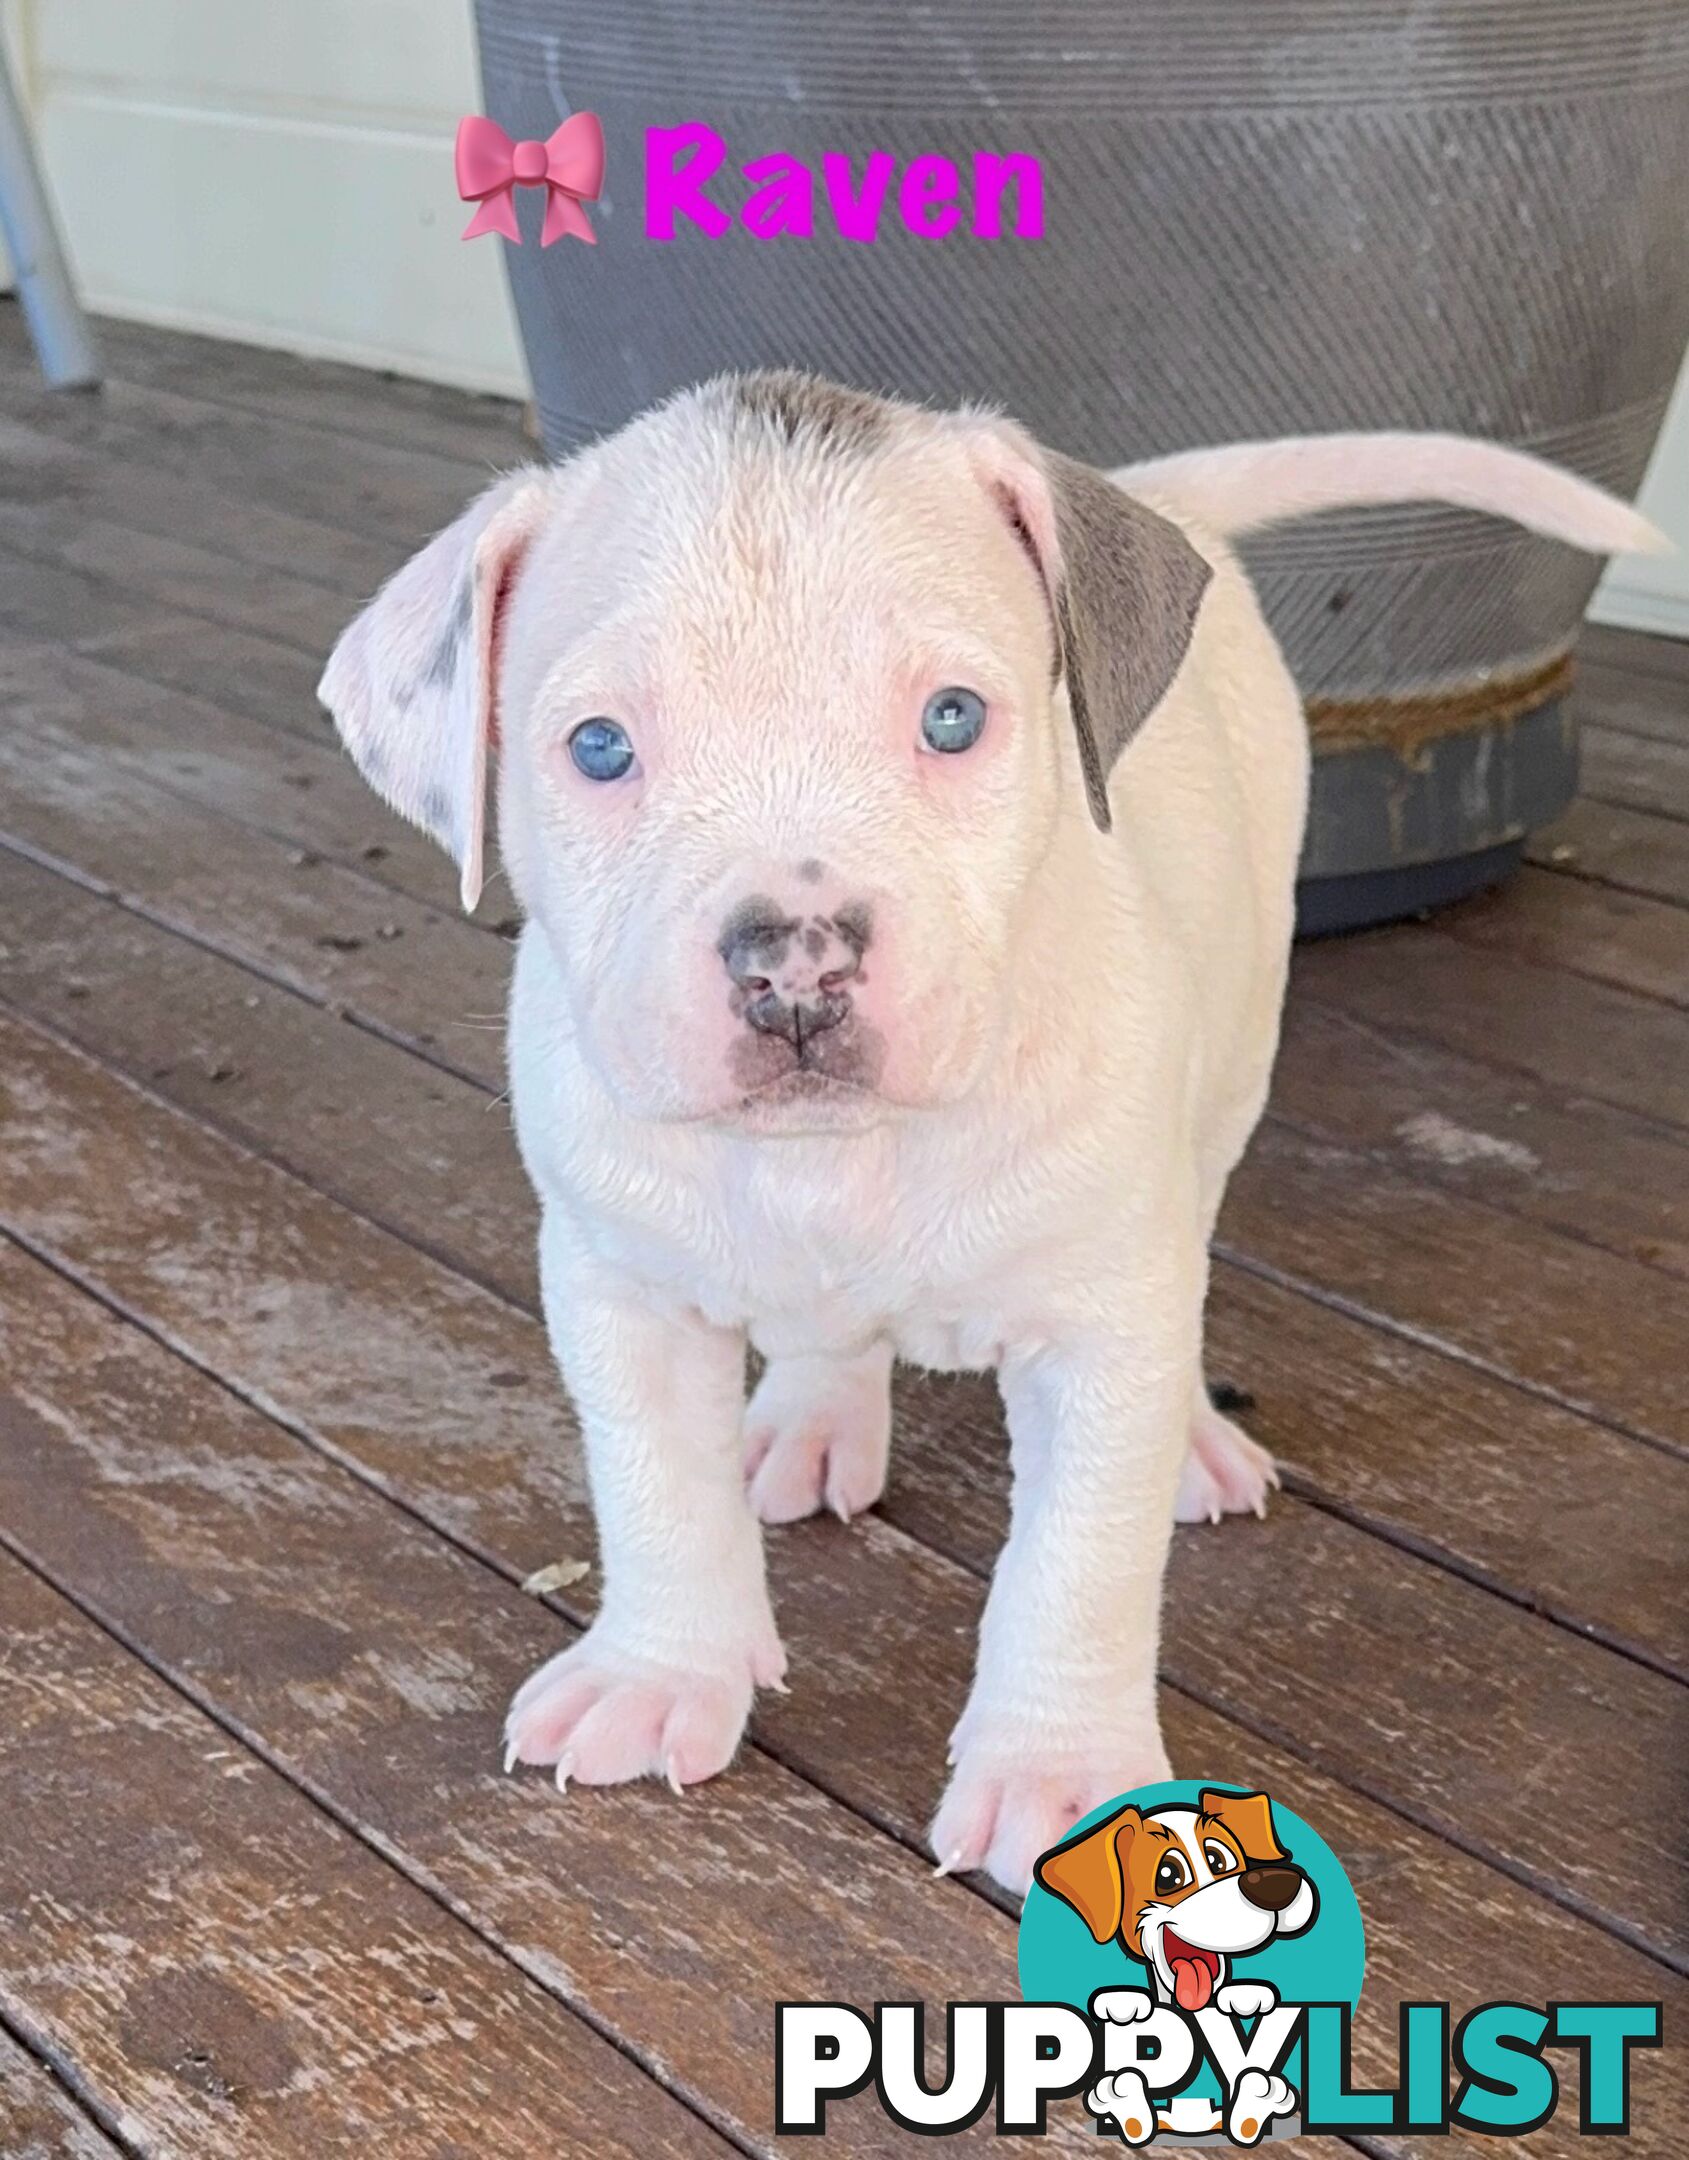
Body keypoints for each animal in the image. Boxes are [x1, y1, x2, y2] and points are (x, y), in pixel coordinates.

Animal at [321, 380, 1667, 1900]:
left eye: (954, 718)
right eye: (599, 748)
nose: (794, 964)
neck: (843, 1161)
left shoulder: (1098, 1331)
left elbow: (1076, 1565)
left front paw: (1065, 1776)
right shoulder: (617, 1284)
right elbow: (653, 1486)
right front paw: (659, 1672)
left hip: (1235, 1054)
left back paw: (1189, 1438)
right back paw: (810, 1413)